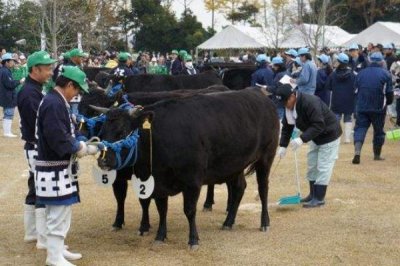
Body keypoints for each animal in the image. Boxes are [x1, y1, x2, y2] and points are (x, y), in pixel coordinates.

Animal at [95, 88, 280, 248]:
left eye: (121, 131)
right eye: (102, 133)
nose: (103, 161)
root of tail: (259, 94)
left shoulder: (192, 181)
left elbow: (189, 210)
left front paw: (193, 240)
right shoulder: (157, 182)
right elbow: (161, 209)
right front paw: (160, 236)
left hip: (266, 158)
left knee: (263, 189)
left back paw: (264, 222)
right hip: (235, 165)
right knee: (239, 188)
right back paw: (228, 222)